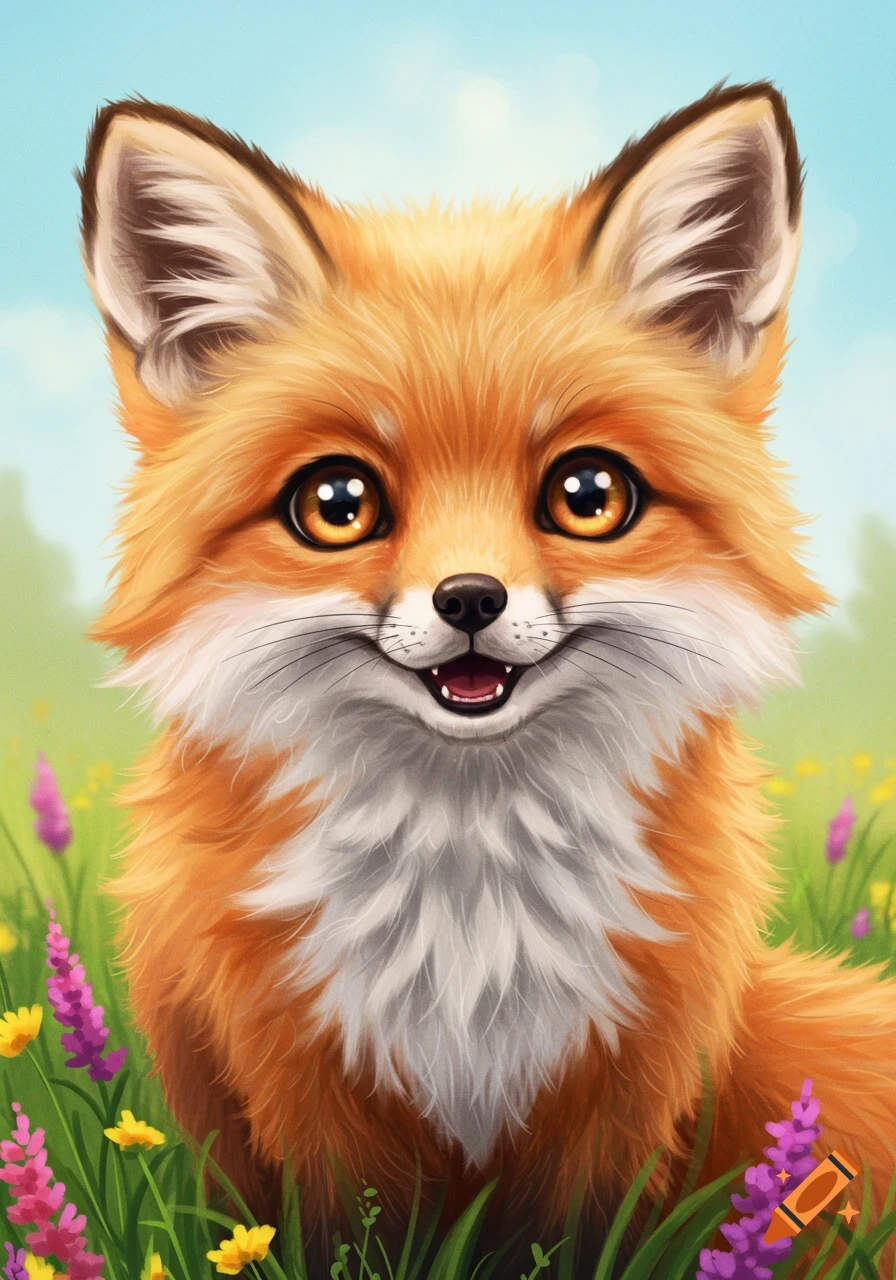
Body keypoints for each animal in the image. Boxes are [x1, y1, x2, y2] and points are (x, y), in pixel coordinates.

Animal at [79, 82, 896, 1274]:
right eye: (337, 503)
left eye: (588, 492)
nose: (470, 599)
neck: (465, 911)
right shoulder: (299, 1093)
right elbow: (335, 1232)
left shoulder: (617, 1095)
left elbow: (576, 1237)